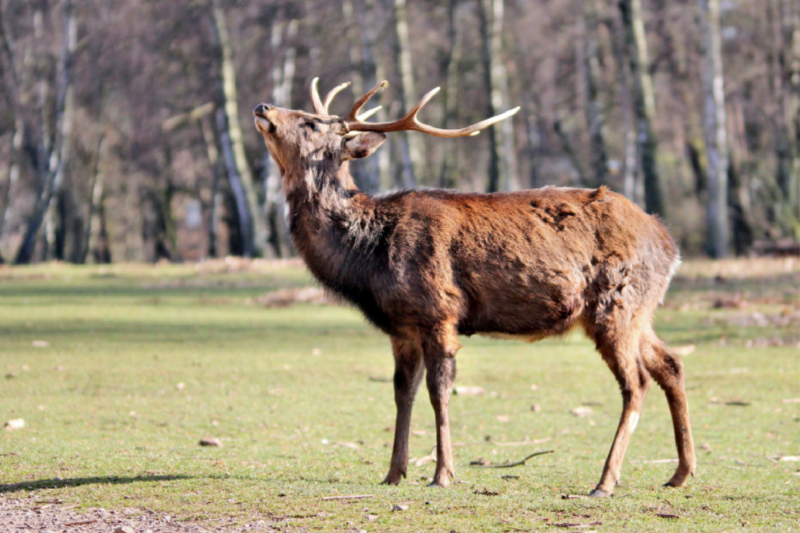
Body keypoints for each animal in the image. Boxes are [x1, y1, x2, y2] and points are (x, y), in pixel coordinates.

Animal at [255, 78, 692, 494]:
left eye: (312, 123)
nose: (263, 106)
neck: (368, 255)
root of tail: (671, 245)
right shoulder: (401, 327)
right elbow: (402, 392)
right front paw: (394, 473)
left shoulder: (439, 311)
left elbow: (439, 391)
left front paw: (443, 473)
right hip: (639, 311)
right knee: (670, 363)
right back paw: (680, 473)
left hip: (616, 304)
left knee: (636, 382)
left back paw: (605, 481)